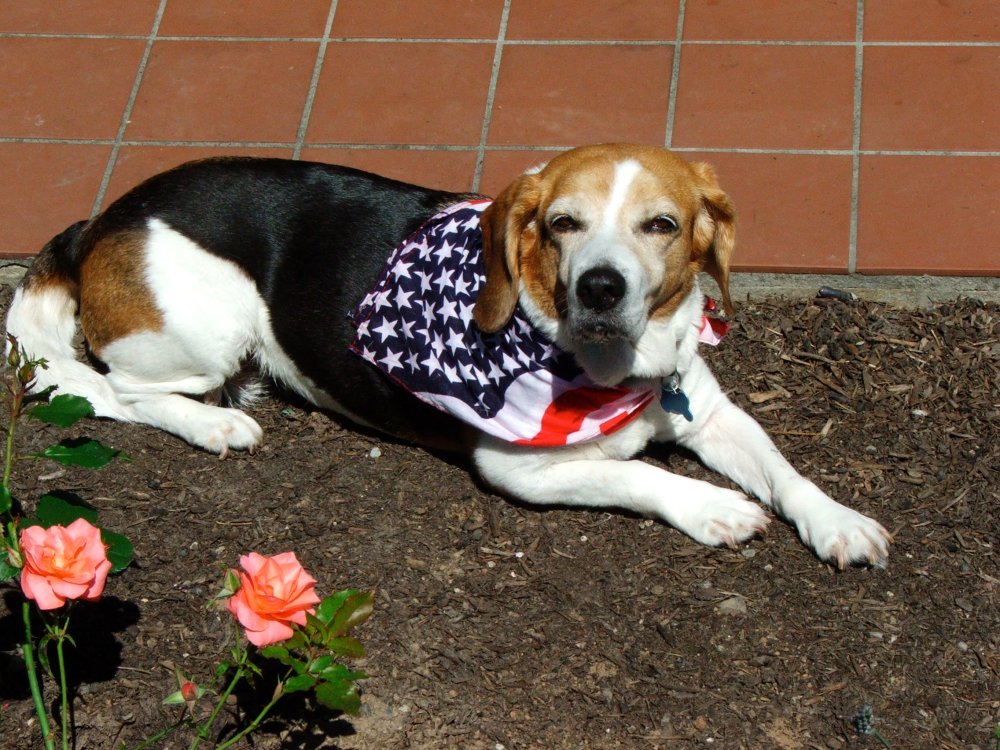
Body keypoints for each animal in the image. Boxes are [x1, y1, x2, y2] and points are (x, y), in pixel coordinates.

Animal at [6, 144, 891, 568]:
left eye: (662, 225)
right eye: (562, 224)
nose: (601, 286)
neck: (613, 363)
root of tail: (103, 216)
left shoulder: (710, 413)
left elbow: (786, 470)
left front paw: (837, 522)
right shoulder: (521, 470)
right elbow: (641, 476)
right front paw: (713, 508)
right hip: (205, 329)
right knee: (116, 392)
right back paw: (214, 425)